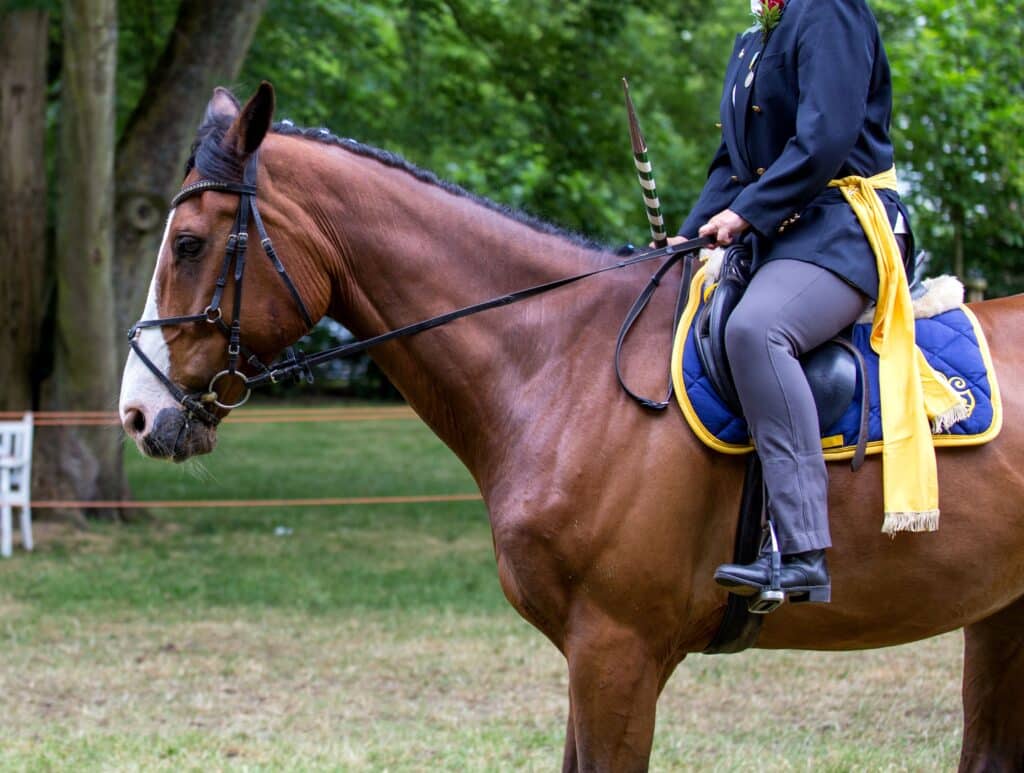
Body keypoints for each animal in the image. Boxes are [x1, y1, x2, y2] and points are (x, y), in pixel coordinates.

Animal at [117, 81, 1024, 769]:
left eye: (189, 243)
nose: (138, 413)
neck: (562, 357)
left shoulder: (618, 652)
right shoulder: (591, 659)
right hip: (1001, 613)